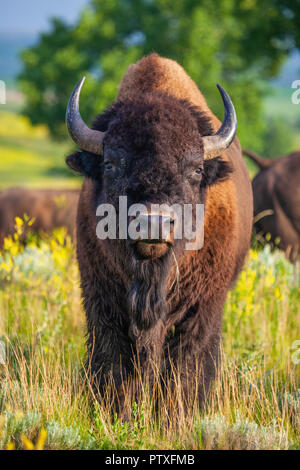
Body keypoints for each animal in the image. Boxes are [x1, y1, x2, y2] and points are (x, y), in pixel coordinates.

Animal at [65, 53, 253, 410]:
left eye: (196, 169)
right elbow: (114, 362)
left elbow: (185, 366)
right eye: (110, 163)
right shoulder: (102, 301)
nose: (153, 222)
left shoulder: (201, 308)